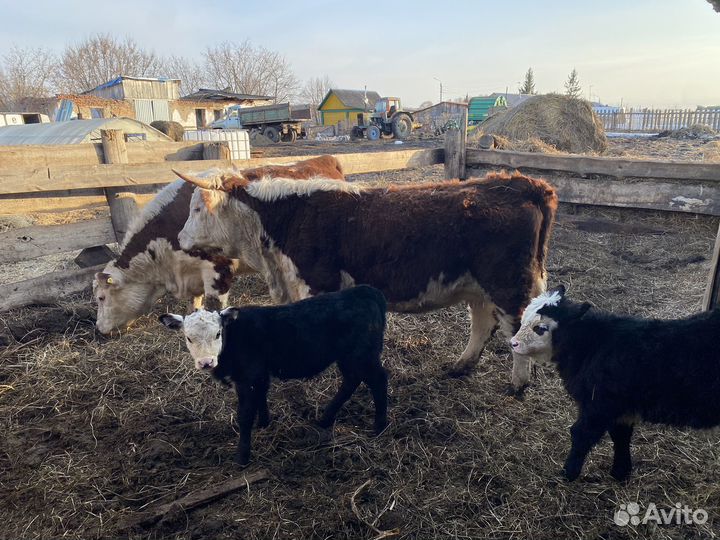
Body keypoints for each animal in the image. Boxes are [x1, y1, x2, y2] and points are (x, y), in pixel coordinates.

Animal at [94, 155, 345, 334]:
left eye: (101, 298)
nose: (98, 329)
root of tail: (325, 159)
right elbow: (194, 304)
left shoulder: (218, 271)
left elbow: (216, 305)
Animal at [172, 169, 557, 392]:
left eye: (196, 209)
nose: (179, 239)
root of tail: (521, 183)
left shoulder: (318, 281)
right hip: (478, 285)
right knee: (481, 323)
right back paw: (461, 366)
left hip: (507, 283)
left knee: (515, 328)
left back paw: (518, 383)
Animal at [511, 285, 720, 481]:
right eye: (523, 319)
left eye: (540, 328)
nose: (513, 343)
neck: (592, 346)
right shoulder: (620, 409)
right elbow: (621, 436)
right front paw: (620, 473)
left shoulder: (599, 405)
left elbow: (581, 434)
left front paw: (567, 474)